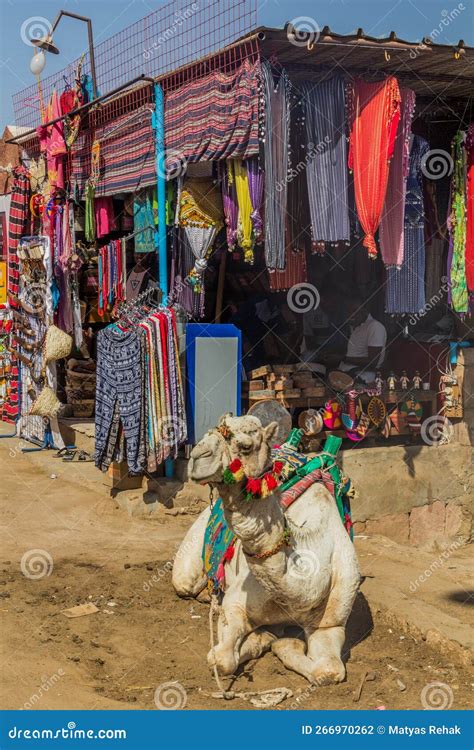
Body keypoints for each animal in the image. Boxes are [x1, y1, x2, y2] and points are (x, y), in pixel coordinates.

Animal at [172, 418, 362, 688]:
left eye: (245, 446)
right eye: (209, 433)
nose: (197, 457)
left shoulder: (331, 624)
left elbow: (328, 672)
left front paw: (275, 641)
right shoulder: (236, 603)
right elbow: (221, 659)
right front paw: (260, 640)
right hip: (189, 561)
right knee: (185, 582)